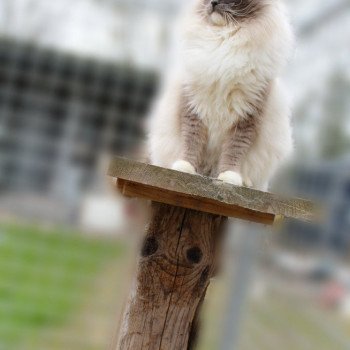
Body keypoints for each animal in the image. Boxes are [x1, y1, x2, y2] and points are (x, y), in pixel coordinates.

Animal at [147, 0, 292, 191]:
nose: (214, 2)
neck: (222, 41)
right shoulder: (193, 108)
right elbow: (191, 143)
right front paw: (184, 168)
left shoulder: (246, 118)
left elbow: (233, 151)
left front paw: (229, 178)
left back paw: (244, 181)